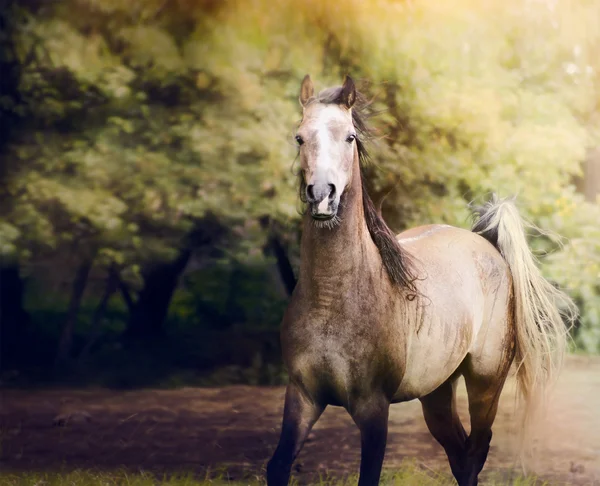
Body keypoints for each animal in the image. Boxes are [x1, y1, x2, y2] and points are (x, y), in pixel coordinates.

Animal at [266, 74, 572, 484]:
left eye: (350, 136)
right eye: (300, 137)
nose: (322, 196)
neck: (334, 298)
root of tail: (487, 243)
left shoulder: (373, 408)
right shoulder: (303, 396)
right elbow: (278, 466)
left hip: (485, 383)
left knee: (475, 451)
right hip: (437, 392)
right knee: (460, 454)